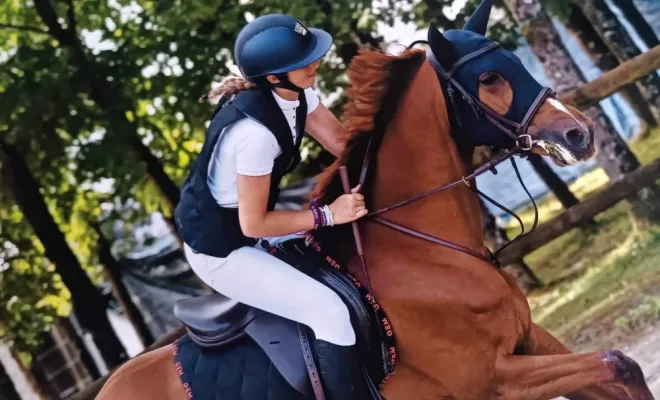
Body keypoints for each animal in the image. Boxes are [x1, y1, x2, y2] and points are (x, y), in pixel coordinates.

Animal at [94, 3, 656, 400]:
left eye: (515, 62)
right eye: (489, 79)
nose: (579, 134)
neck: (422, 252)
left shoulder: (528, 342)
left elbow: (620, 369)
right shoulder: (499, 378)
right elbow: (614, 362)